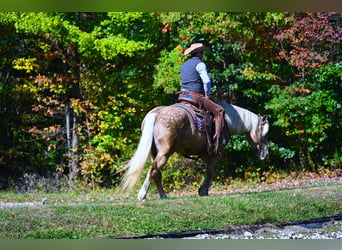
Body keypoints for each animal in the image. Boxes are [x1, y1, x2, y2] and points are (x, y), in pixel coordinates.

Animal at [121, 101, 268, 199]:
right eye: (265, 133)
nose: (265, 154)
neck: (227, 121)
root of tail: (156, 113)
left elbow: (209, 172)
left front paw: (203, 190)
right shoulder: (216, 155)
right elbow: (210, 172)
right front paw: (203, 191)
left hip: (155, 153)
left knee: (156, 172)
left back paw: (163, 195)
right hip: (164, 154)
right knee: (153, 170)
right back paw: (142, 195)